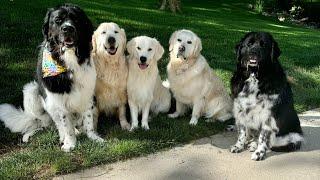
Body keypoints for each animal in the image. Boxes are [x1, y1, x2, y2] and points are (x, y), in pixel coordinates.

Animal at [0, 3, 103, 151]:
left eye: (76, 19)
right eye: (58, 20)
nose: (68, 28)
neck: (69, 60)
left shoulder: (87, 92)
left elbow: (88, 118)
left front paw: (93, 137)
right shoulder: (58, 99)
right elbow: (66, 124)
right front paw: (70, 143)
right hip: (32, 90)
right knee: (44, 123)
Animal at [230, 32, 302, 160]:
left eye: (263, 45)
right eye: (249, 44)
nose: (254, 52)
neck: (254, 77)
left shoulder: (268, 115)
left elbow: (263, 137)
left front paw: (259, 153)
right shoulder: (240, 109)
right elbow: (242, 132)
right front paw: (238, 146)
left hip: (293, 136)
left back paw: (254, 145)